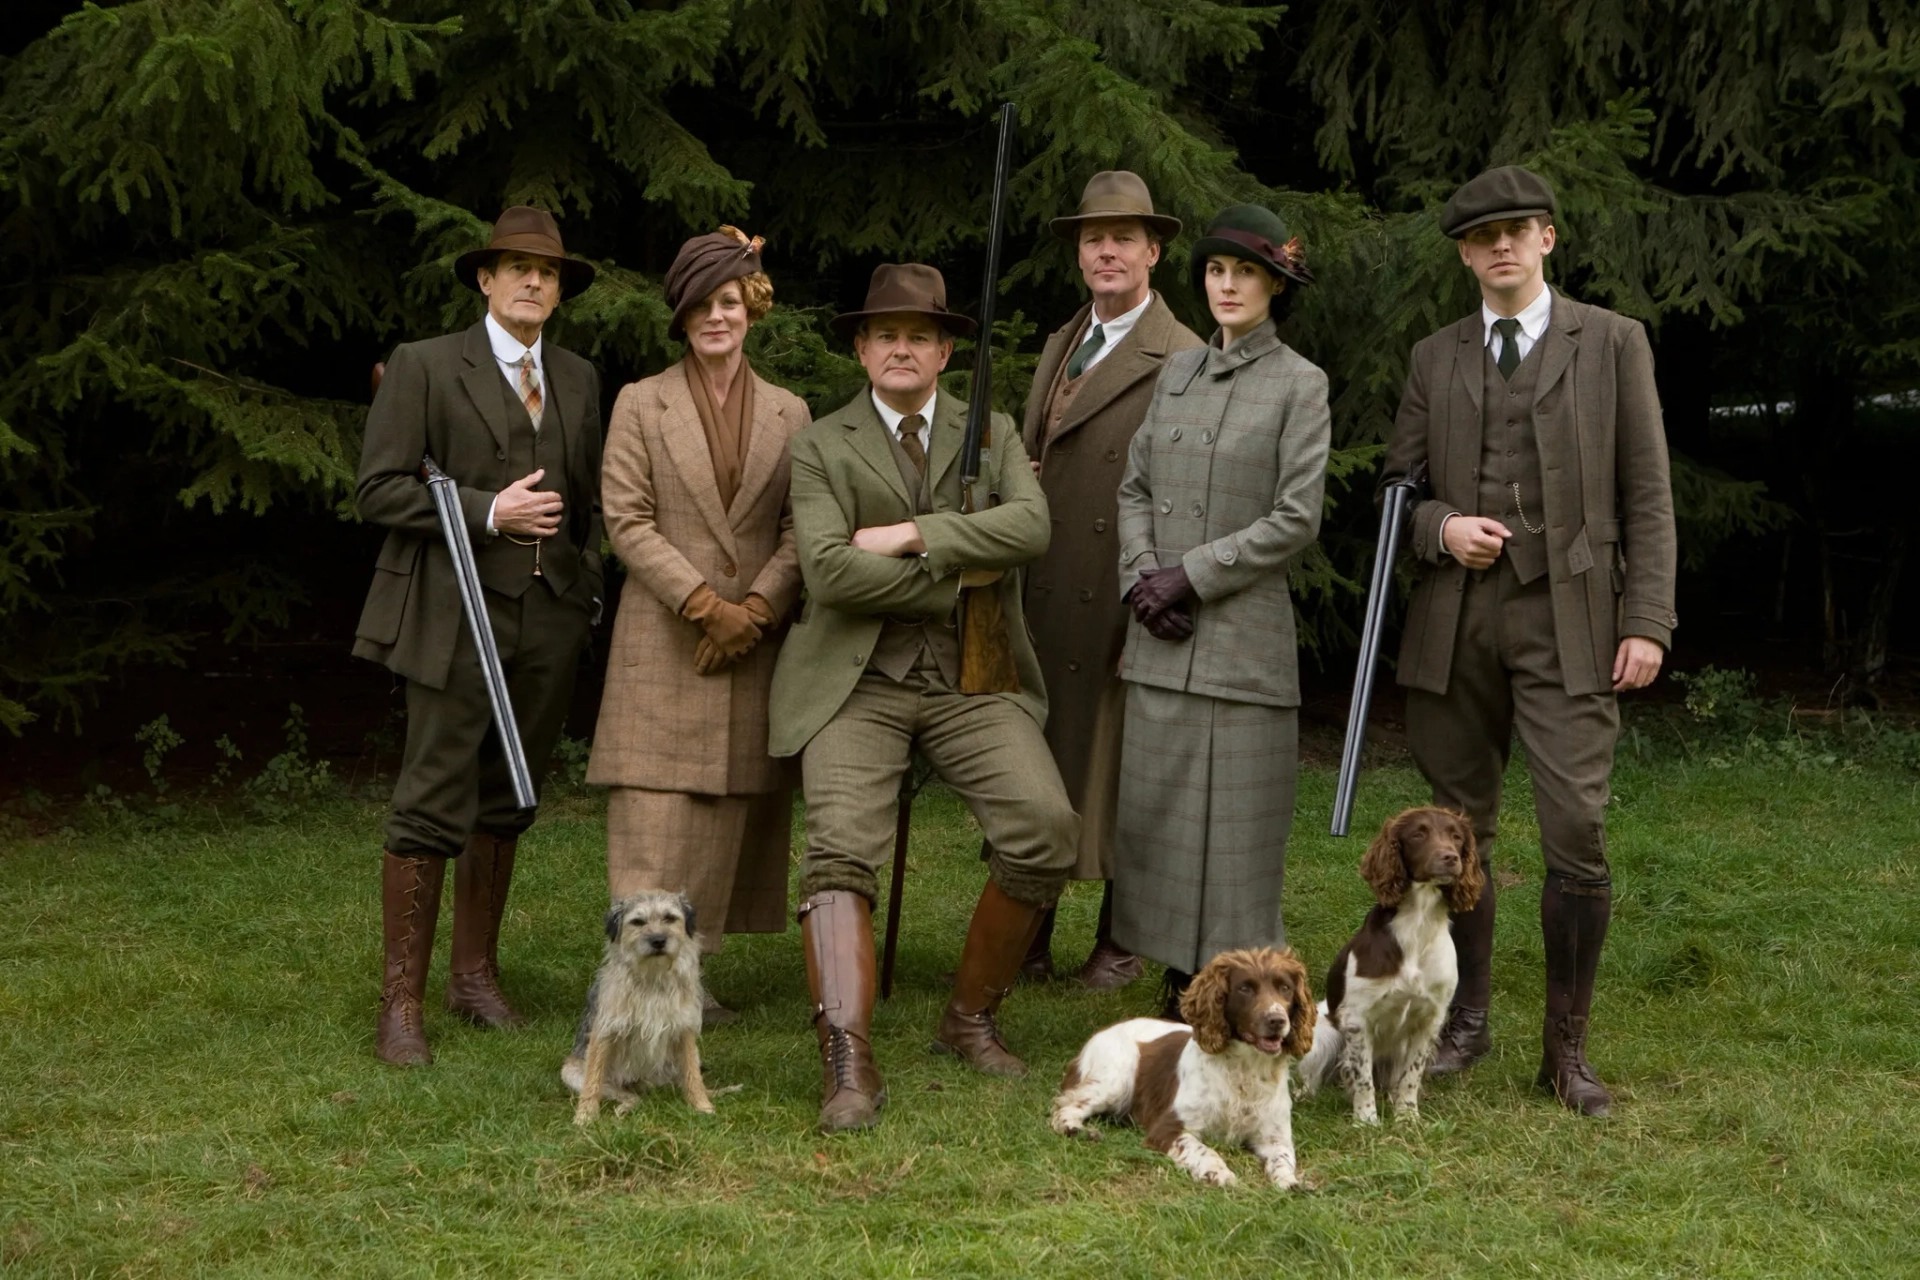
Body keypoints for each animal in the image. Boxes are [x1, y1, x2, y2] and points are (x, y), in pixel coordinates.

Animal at [560, 890, 714, 1120]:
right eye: (638, 921)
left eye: (670, 918)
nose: (658, 940)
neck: (652, 979)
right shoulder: (605, 1031)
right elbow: (593, 1080)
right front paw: (585, 1116)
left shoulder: (684, 1031)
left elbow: (692, 1076)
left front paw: (702, 1105)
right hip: (571, 1071)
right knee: (627, 1096)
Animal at [1059, 951, 1313, 1189]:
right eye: (1245, 988)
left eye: (1285, 988)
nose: (1277, 1020)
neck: (1246, 1068)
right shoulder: (1169, 1128)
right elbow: (1205, 1150)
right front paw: (1218, 1173)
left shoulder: (1275, 1136)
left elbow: (1283, 1159)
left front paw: (1291, 1183)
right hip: (1115, 1080)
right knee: (1065, 1107)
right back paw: (1077, 1130)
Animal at [1290, 809, 1482, 1120]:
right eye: (1418, 834)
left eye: (1456, 837)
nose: (1451, 857)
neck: (1418, 923)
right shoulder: (1357, 1019)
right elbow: (1362, 1077)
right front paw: (1366, 1120)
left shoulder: (1430, 1019)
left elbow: (1411, 1075)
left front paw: (1407, 1116)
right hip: (1325, 1032)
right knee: (1316, 1077)